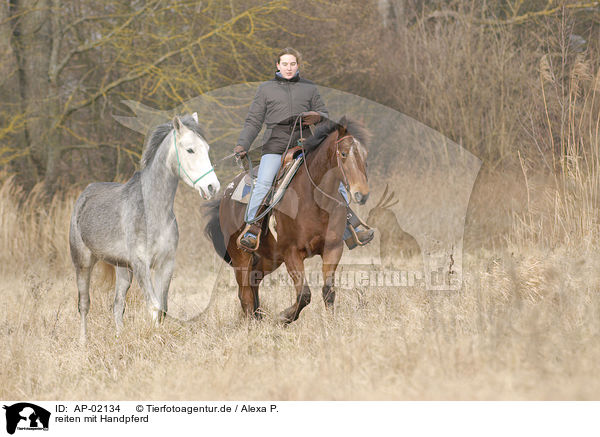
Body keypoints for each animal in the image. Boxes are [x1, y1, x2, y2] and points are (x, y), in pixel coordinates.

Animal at [69, 112, 220, 340]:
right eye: (190, 149)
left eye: (208, 149)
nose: (212, 187)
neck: (153, 212)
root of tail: (84, 196)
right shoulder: (141, 265)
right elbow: (154, 306)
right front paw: (156, 339)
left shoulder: (166, 264)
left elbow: (163, 309)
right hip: (83, 262)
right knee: (84, 304)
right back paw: (83, 342)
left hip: (123, 270)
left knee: (117, 305)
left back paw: (119, 338)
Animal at [204, 117, 368, 322]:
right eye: (344, 153)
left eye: (365, 155)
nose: (362, 194)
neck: (312, 200)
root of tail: (226, 196)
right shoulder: (292, 253)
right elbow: (304, 294)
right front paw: (283, 317)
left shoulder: (333, 248)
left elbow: (328, 291)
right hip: (241, 256)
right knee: (245, 294)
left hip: (268, 258)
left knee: (254, 283)